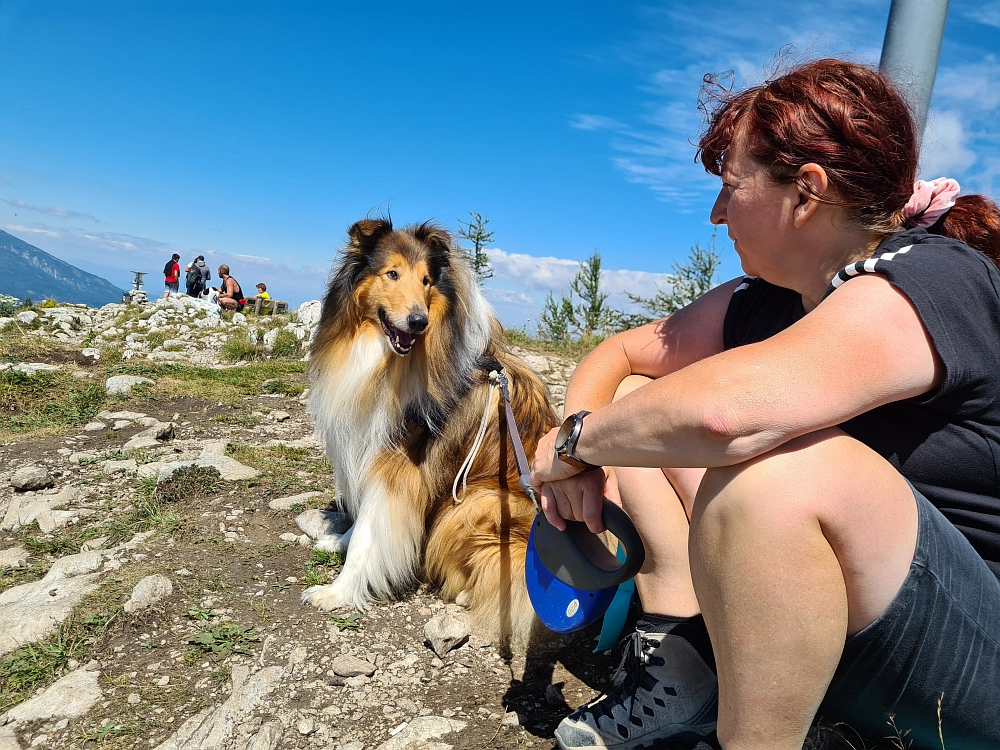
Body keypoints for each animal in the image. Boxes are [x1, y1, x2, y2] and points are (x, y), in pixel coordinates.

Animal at [300, 217, 560, 652]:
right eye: (392, 274)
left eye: (426, 280)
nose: (418, 322)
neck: (385, 358)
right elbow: (363, 522)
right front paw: (338, 539)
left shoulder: (399, 465)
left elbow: (369, 533)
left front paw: (337, 591)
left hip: (477, 502)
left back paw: (466, 594)